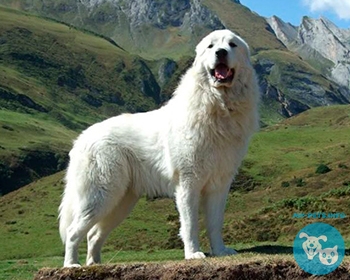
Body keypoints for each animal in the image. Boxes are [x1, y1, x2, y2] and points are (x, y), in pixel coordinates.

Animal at [58, 29, 260, 266]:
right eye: (211, 46)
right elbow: (190, 224)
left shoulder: (219, 185)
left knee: (93, 234)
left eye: (232, 45)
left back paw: (95, 264)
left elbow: (215, 223)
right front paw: (193, 254)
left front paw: (220, 251)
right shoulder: (188, 183)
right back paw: (72, 264)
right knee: (73, 231)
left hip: (121, 202)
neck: (218, 106)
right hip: (101, 196)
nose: (221, 53)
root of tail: (82, 138)